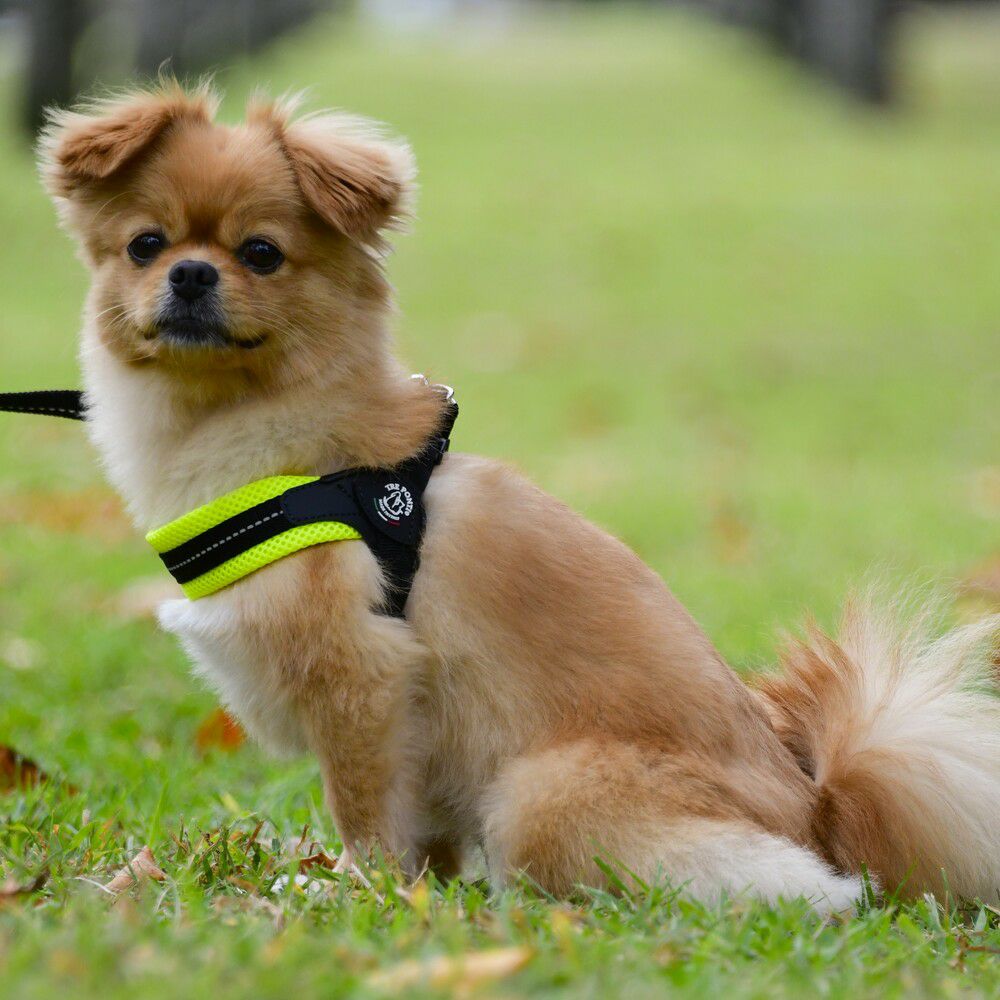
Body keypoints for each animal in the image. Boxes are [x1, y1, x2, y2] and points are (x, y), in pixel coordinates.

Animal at [39, 81, 1000, 910]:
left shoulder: (363, 677)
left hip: (537, 792)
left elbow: (364, 809)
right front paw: (410, 887)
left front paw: (352, 888)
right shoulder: (414, 720)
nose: (192, 276)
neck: (275, 430)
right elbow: (418, 828)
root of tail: (819, 807)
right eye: (146, 245)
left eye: (262, 254)